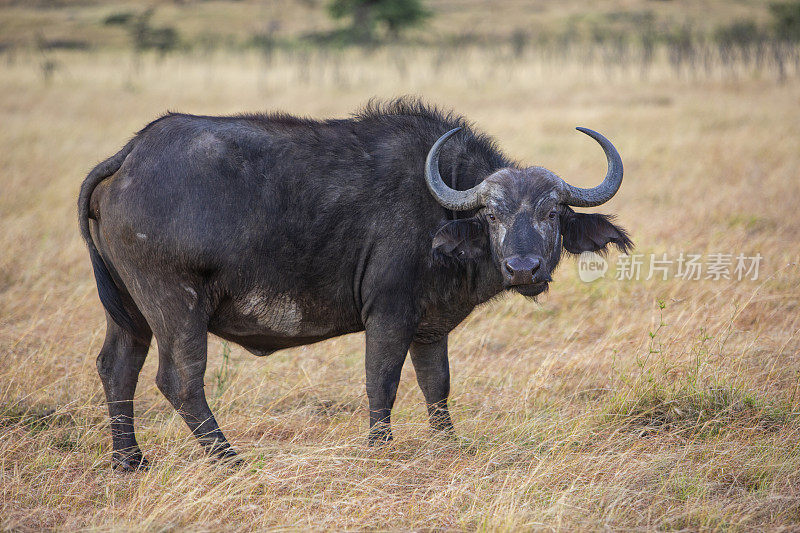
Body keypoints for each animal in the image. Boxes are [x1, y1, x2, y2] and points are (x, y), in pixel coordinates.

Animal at [81, 97, 632, 468]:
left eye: (551, 213)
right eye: (493, 215)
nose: (523, 268)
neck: (441, 210)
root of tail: (131, 154)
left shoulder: (430, 327)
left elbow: (437, 384)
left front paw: (448, 444)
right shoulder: (388, 315)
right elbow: (381, 381)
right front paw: (381, 449)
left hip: (129, 312)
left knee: (117, 368)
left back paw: (129, 461)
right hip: (177, 305)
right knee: (180, 380)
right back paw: (230, 458)